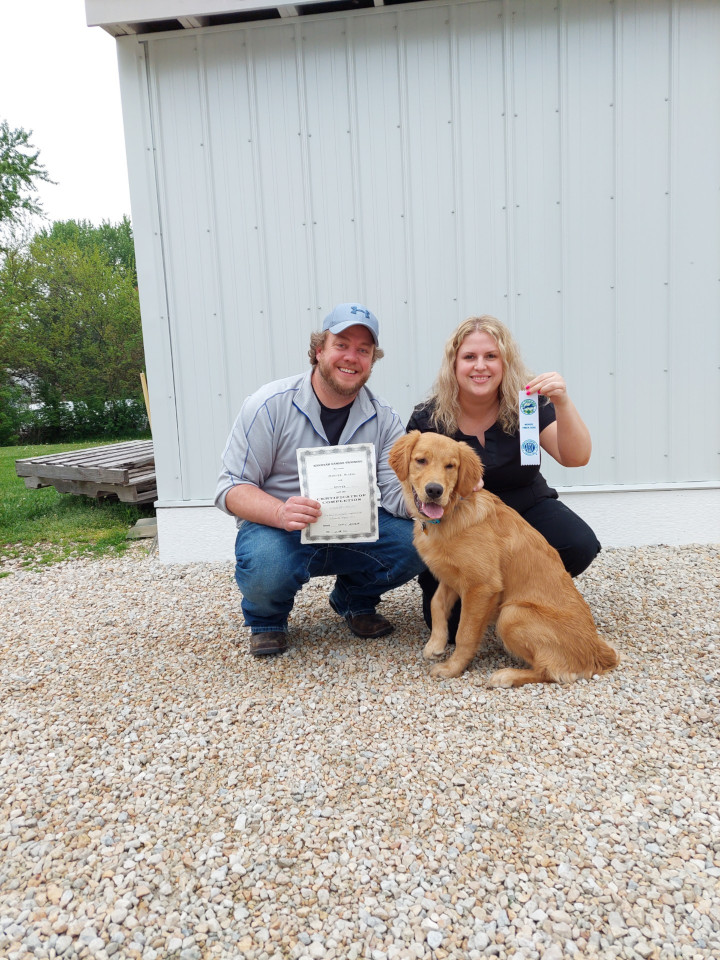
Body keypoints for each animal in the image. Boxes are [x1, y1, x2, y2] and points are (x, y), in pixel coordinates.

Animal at [388, 432, 620, 688]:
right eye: (421, 461)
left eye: (451, 466)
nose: (434, 490)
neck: (453, 512)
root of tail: (598, 653)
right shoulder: (452, 576)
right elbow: (436, 603)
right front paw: (435, 644)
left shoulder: (482, 586)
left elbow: (464, 633)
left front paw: (452, 668)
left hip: (512, 614)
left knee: (551, 672)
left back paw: (507, 675)